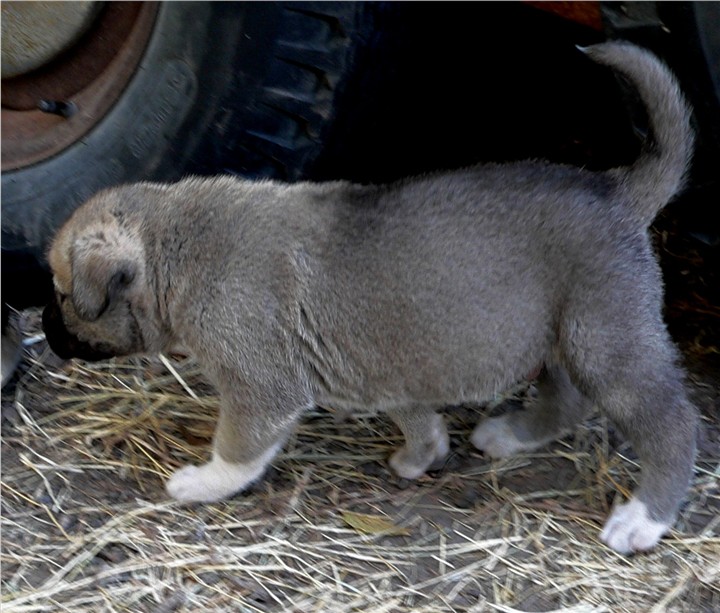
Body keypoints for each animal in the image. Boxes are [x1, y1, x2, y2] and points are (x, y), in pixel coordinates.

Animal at [42, 40, 696, 552]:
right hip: (565, 336)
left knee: (672, 424)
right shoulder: (386, 370)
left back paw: (644, 519)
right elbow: (418, 418)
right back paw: (511, 436)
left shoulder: (261, 387)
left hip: (608, 343)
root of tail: (617, 190)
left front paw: (202, 482)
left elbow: (239, 448)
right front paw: (422, 457)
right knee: (568, 399)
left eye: (64, 293)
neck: (178, 247)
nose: (44, 333)